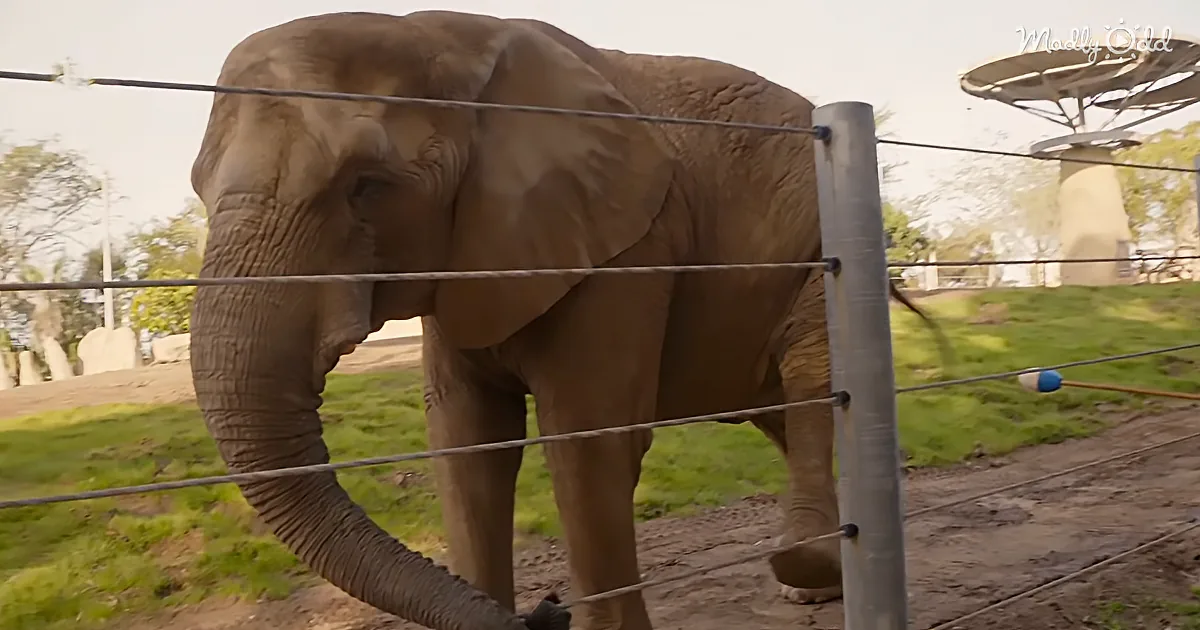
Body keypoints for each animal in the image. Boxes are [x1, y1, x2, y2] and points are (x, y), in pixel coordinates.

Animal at [188, 10, 941, 630]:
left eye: (366, 187)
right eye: (197, 187)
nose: (541, 614)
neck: (444, 39)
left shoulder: (630, 247)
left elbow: (587, 439)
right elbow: (467, 440)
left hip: (819, 246)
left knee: (812, 375)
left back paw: (807, 566)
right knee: (780, 405)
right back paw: (819, 582)